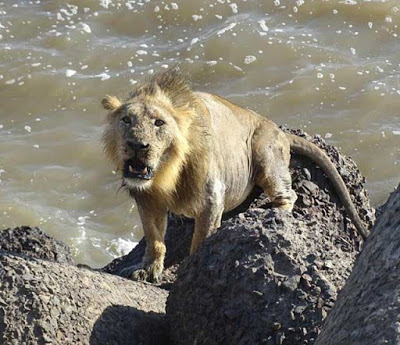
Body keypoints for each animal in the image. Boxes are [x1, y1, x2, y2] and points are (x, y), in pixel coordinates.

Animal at [101, 68, 368, 282]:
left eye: (159, 123)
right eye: (126, 120)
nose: (137, 145)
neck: (166, 175)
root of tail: (279, 130)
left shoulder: (211, 198)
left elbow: (201, 240)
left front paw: (189, 272)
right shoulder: (147, 200)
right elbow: (154, 238)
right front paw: (147, 270)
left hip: (265, 153)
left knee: (288, 195)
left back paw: (271, 212)